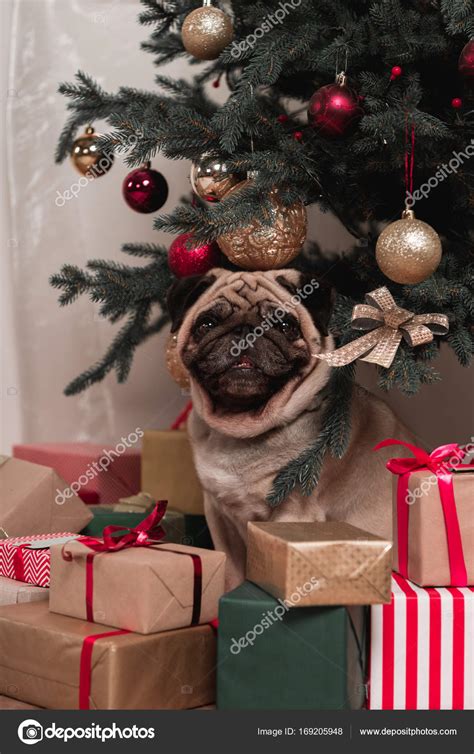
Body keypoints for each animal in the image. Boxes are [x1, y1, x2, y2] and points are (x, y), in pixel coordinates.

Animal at [168, 268, 414, 592]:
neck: (243, 430)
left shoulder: (292, 514)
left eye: (285, 326)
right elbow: (229, 572)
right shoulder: (219, 517)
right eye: (206, 324)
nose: (245, 331)